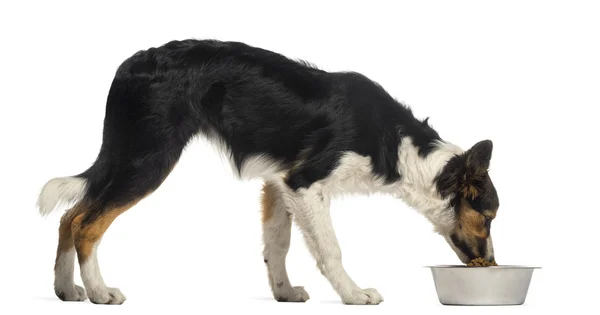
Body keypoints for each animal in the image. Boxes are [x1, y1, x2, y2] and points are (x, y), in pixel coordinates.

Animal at [35, 37, 500, 306]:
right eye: (489, 216)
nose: (492, 265)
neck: (398, 144)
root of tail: (129, 65)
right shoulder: (306, 184)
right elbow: (331, 249)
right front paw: (353, 294)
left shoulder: (279, 185)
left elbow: (276, 246)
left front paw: (284, 293)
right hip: (149, 159)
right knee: (87, 224)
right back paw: (100, 292)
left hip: (129, 157)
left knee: (69, 215)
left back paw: (67, 290)